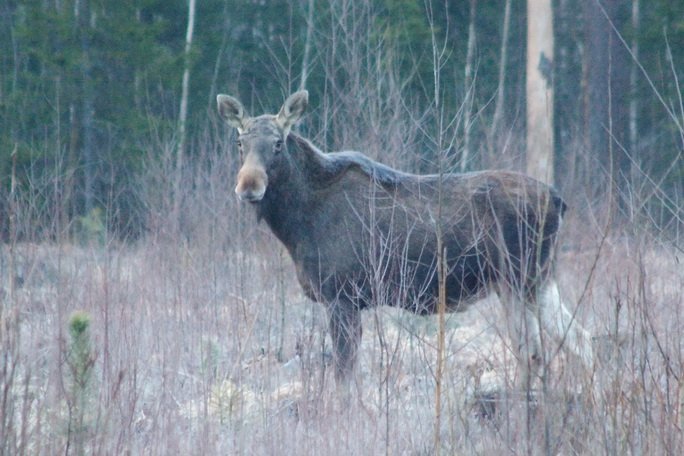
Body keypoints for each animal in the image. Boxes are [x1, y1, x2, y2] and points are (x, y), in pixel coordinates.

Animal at [219, 91, 592, 386]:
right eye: (239, 143)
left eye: (278, 144)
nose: (248, 186)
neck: (296, 224)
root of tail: (560, 201)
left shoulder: (342, 296)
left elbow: (344, 378)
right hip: (513, 284)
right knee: (538, 351)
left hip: (528, 277)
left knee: (576, 341)